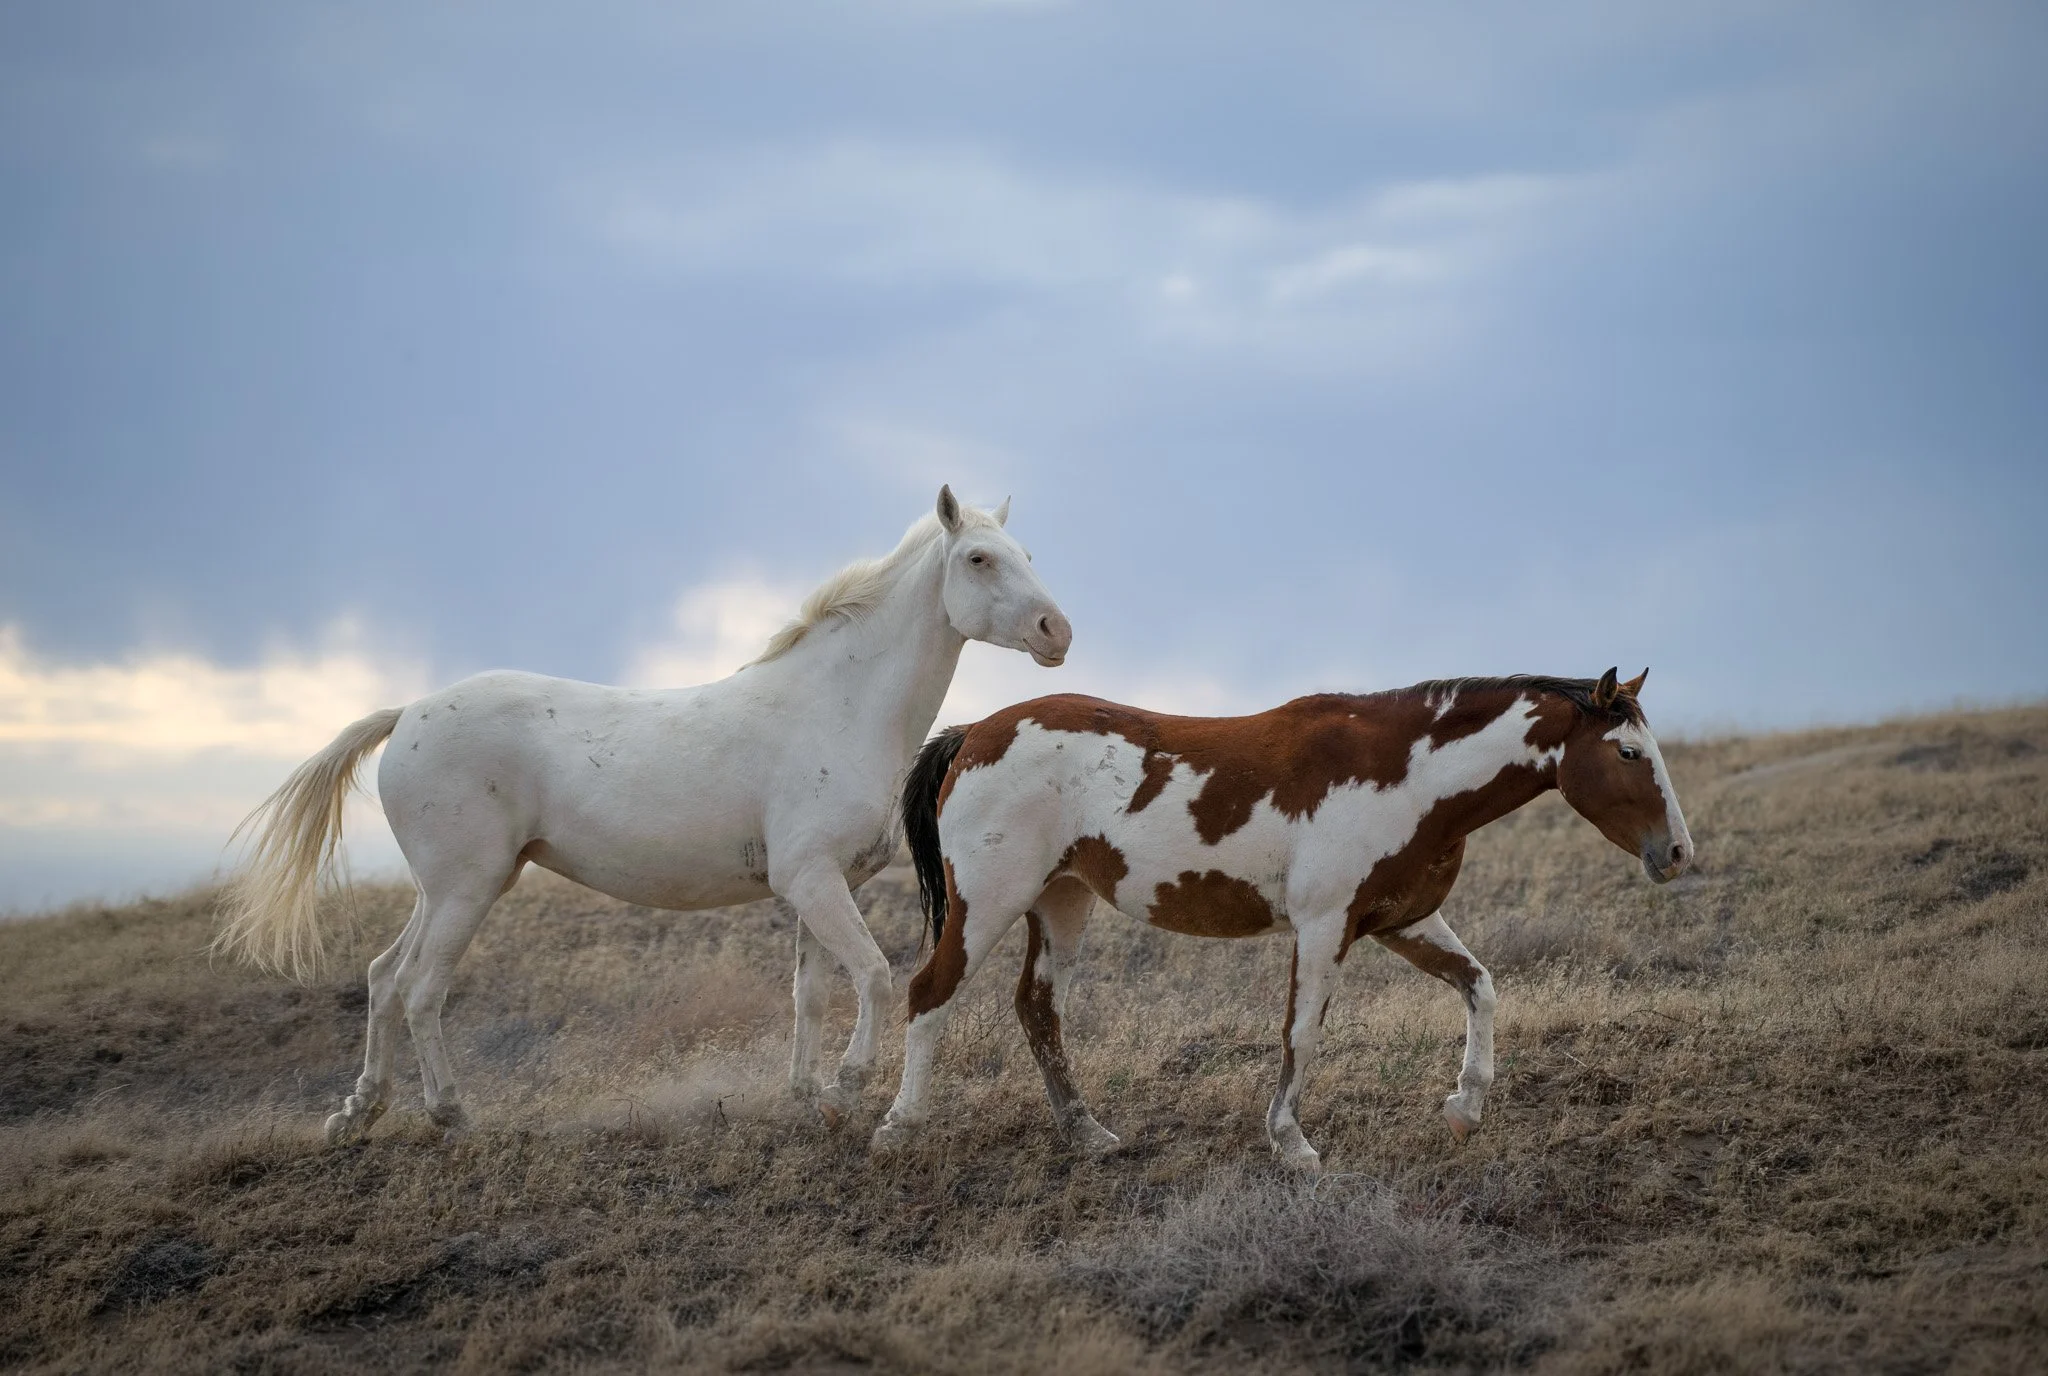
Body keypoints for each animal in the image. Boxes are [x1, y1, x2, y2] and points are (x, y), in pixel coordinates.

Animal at [216, 486, 1072, 1143]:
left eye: (1030, 553)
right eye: (979, 559)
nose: (1055, 632)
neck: (837, 708)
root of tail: (410, 714)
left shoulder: (823, 887)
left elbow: (812, 993)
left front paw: (813, 1098)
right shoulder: (813, 880)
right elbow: (872, 975)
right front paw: (850, 1084)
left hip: (442, 889)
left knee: (385, 976)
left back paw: (357, 1114)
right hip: (467, 888)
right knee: (423, 987)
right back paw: (451, 1115)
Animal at [871, 669, 1691, 1171]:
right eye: (1627, 751)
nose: (1678, 852)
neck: (1406, 774)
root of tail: (975, 732)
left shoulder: (1398, 921)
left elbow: (1480, 986)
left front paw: (1465, 1107)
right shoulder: (1325, 926)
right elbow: (1302, 1033)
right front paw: (1291, 1142)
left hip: (1061, 900)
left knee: (1039, 1008)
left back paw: (1089, 1135)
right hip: (990, 902)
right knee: (930, 993)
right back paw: (898, 1128)